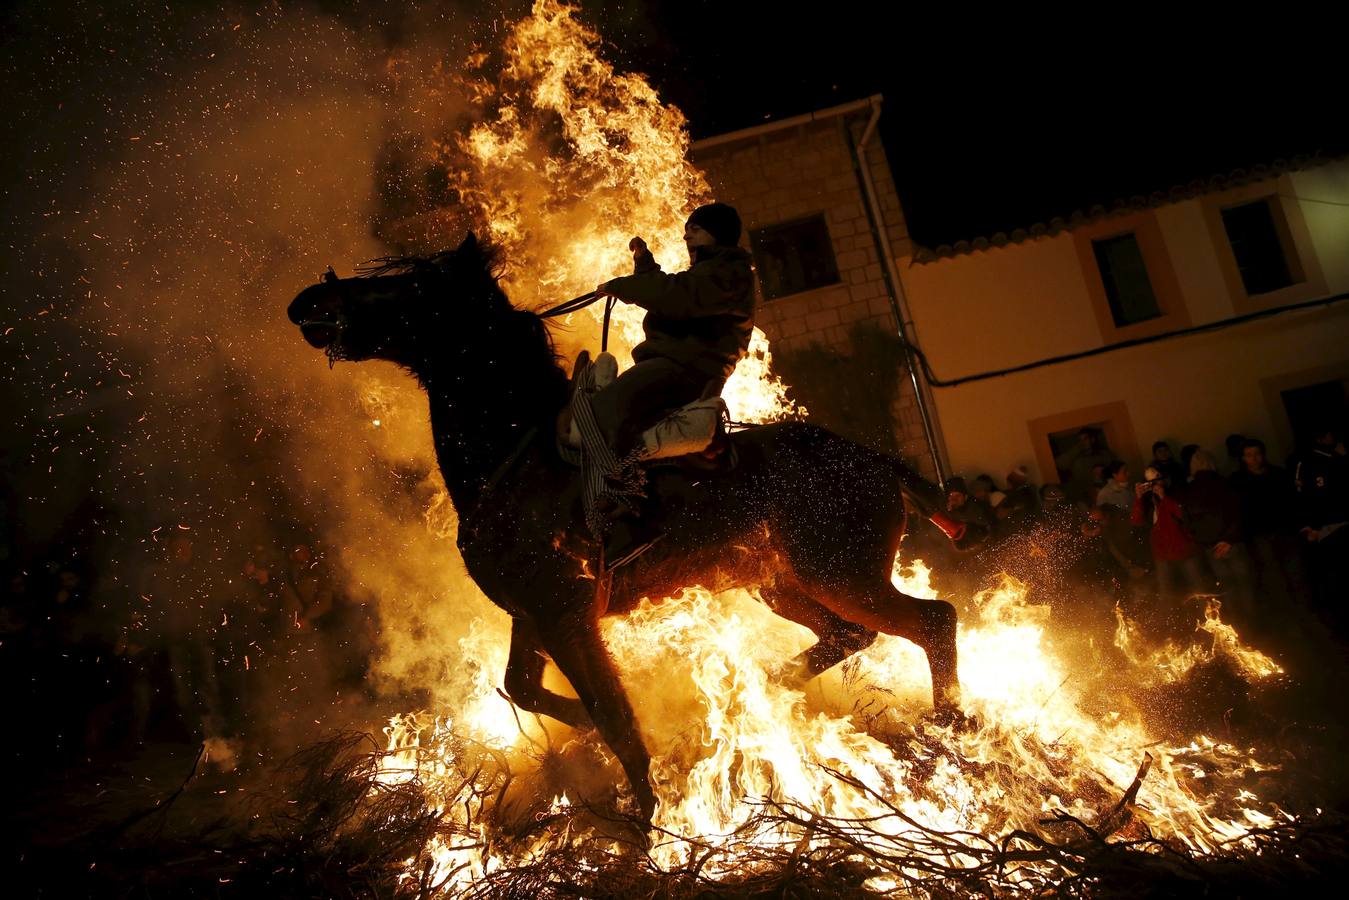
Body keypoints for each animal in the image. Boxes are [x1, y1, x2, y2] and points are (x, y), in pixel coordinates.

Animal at [287, 234, 971, 825]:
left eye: (411, 285)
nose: (308, 302)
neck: (518, 458)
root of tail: (873, 461)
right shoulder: (534, 615)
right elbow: (524, 689)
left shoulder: (565, 615)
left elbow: (613, 714)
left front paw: (650, 820)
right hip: (778, 584)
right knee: (849, 635)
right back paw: (769, 688)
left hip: (842, 576)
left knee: (933, 621)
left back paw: (948, 726)